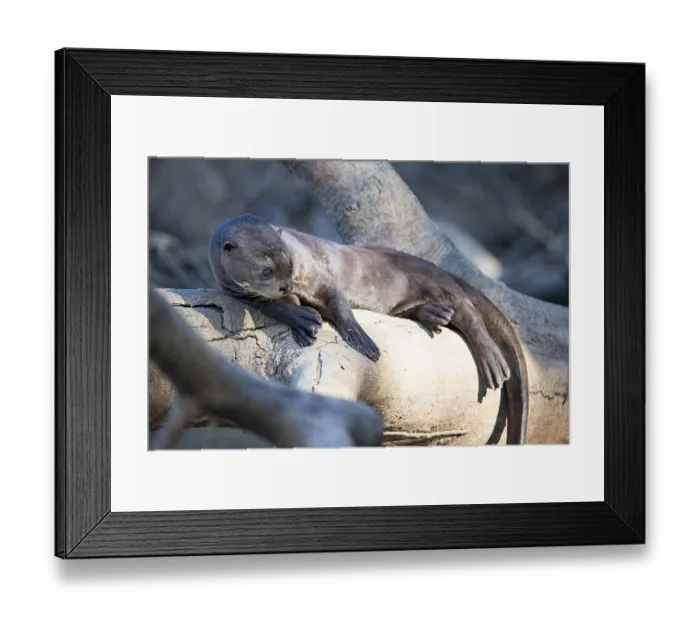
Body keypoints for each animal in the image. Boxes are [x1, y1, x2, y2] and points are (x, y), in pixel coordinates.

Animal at [209, 214, 529, 445]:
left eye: (288, 261)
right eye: (266, 271)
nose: (286, 284)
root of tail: (441, 269)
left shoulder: (314, 271)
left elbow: (337, 300)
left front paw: (362, 341)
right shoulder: (239, 292)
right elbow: (278, 306)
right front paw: (303, 321)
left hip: (435, 280)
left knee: (468, 312)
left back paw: (491, 362)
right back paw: (434, 315)